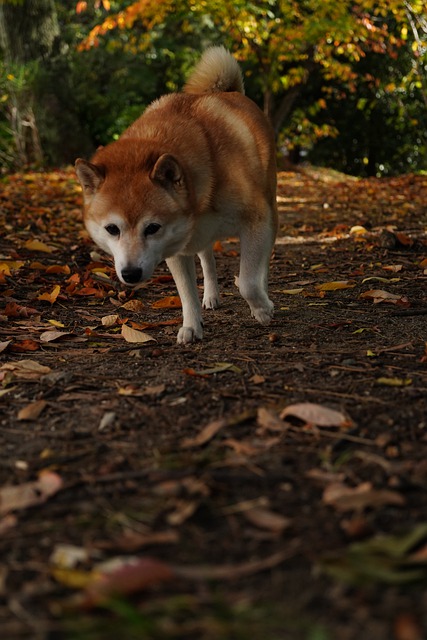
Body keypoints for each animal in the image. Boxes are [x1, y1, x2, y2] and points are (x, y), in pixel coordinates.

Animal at [75, 47, 280, 342]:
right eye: (112, 229)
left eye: (152, 227)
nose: (131, 273)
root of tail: (229, 91)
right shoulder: (177, 245)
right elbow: (186, 293)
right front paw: (192, 325)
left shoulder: (256, 221)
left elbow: (249, 282)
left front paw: (262, 308)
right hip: (201, 238)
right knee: (208, 262)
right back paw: (211, 296)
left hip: (270, 210)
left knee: (260, 265)